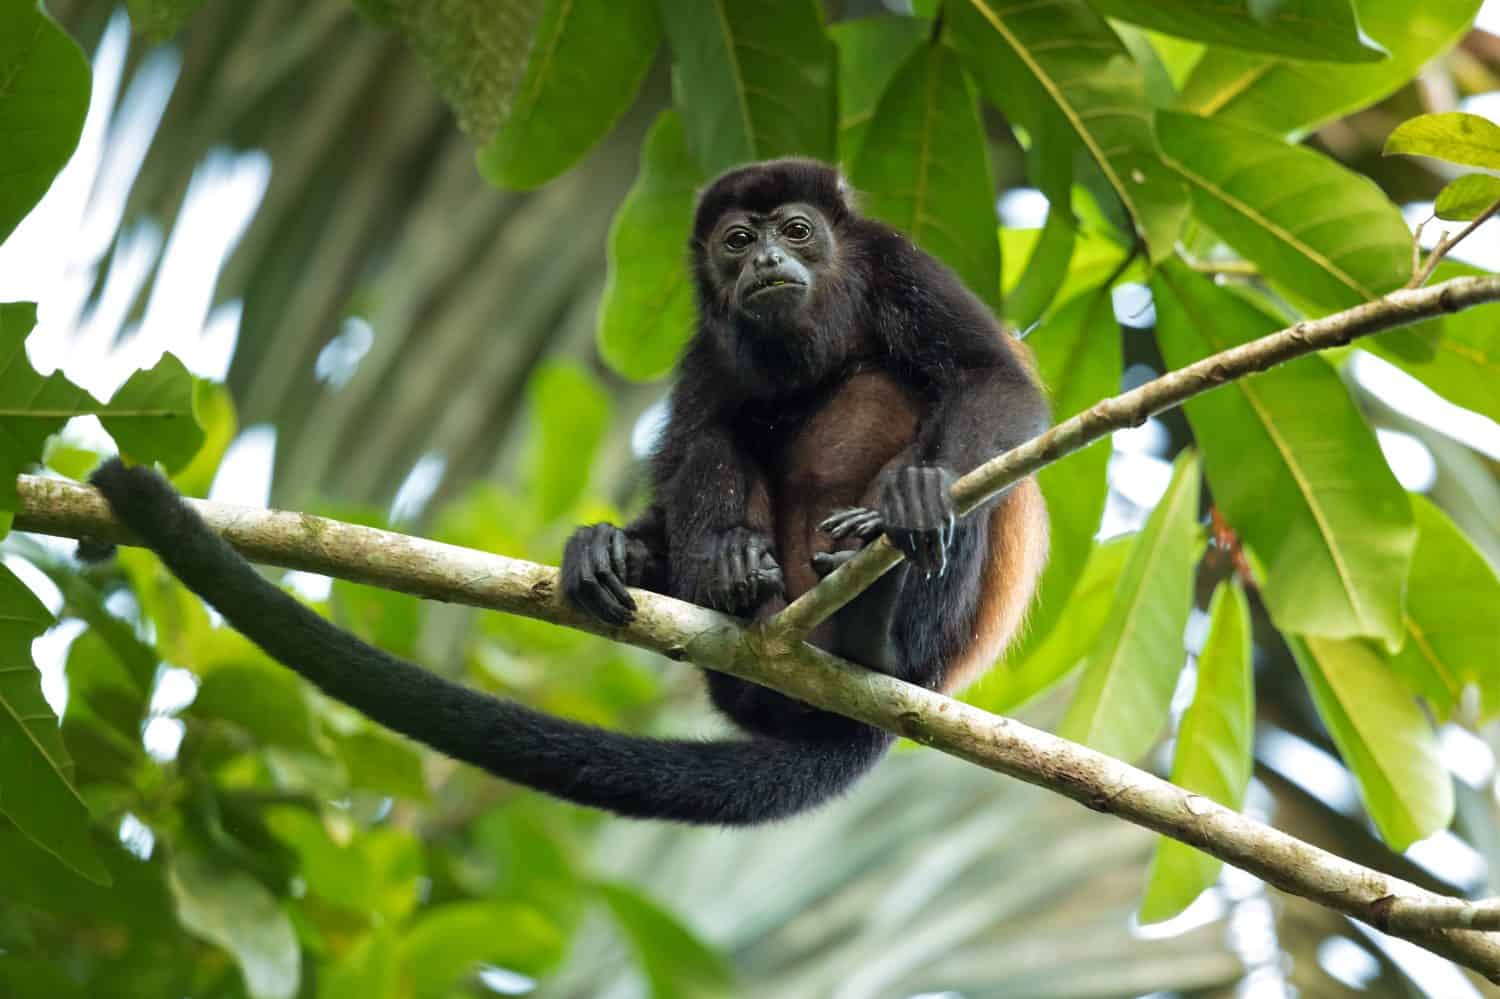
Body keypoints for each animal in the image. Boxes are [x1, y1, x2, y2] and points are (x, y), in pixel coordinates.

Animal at [89, 158, 1048, 826]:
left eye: (798, 229)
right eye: (738, 241)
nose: (771, 256)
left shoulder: (898, 263)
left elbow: (995, 382)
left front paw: (919, 491)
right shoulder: (706, 338)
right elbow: (692, 444)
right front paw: (637, 547)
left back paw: (875, 618)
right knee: (721, 438)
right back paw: (719, 573)